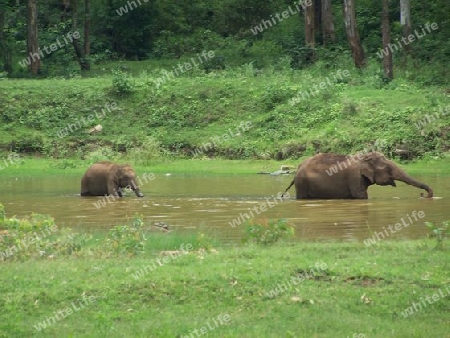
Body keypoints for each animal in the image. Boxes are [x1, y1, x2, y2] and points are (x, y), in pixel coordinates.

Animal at [282, 152, 432, 199]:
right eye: (387, 168)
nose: (422, 195)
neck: (363, 158)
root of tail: (299, 166)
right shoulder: (354, 177)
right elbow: (361, 197)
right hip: (302, 183)